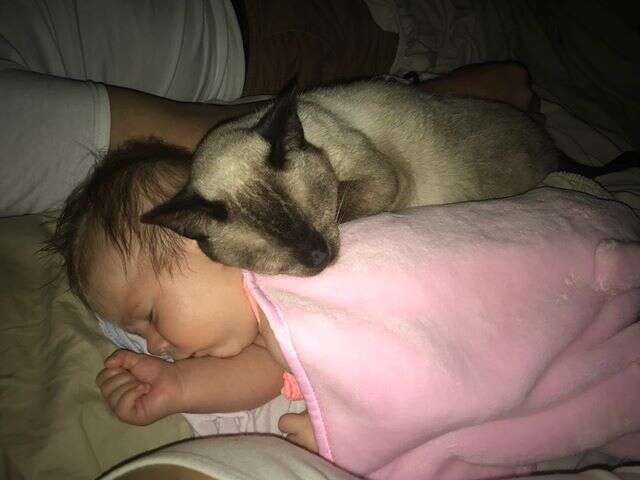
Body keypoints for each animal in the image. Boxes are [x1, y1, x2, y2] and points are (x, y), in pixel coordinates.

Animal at [141, 80, 560, 276]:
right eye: (270, 246)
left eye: (311, 210)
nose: (318, 256)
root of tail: (548, 142)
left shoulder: (383, 179)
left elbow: (345, 200)